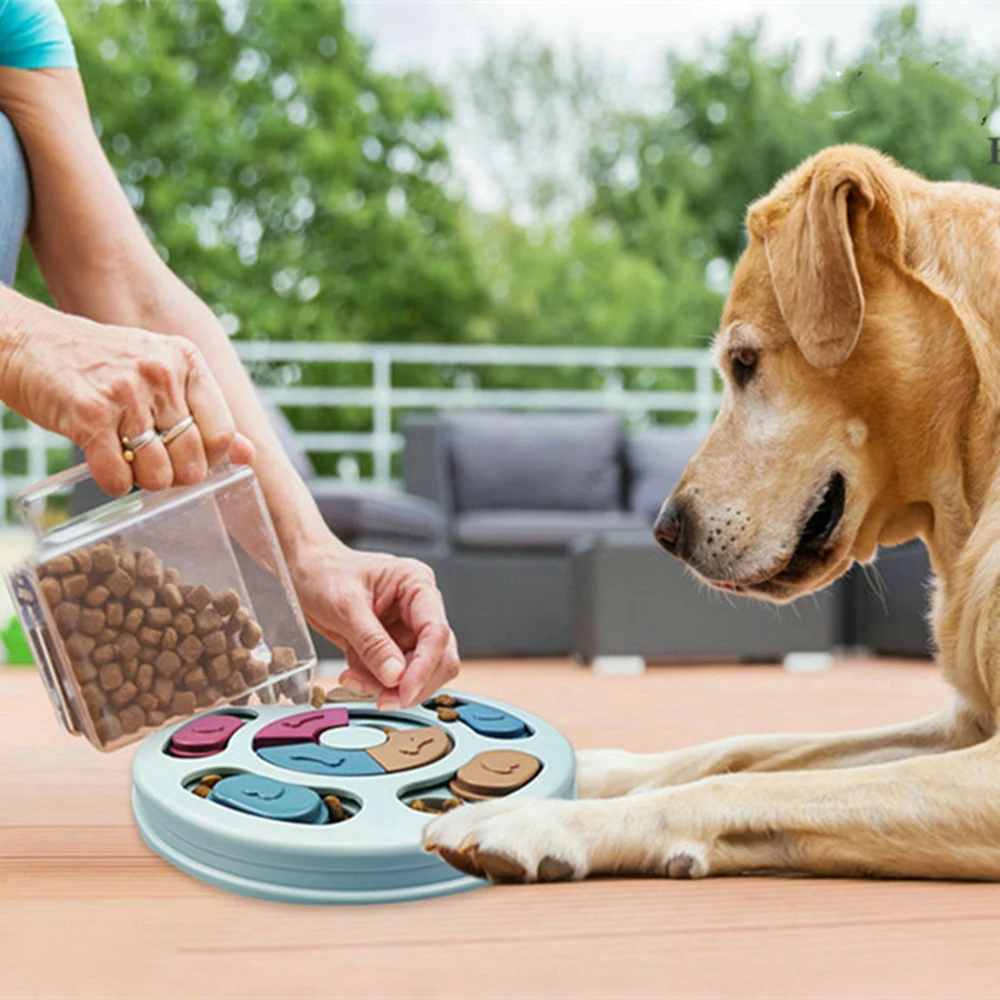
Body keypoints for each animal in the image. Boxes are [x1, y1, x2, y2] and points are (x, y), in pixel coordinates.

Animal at [424, 143, 1000, 884]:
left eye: (745, 361)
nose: (665, 532)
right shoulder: (965, 725)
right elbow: (744, 748)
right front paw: (595, 772)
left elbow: (744, 784)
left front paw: (538, 820)